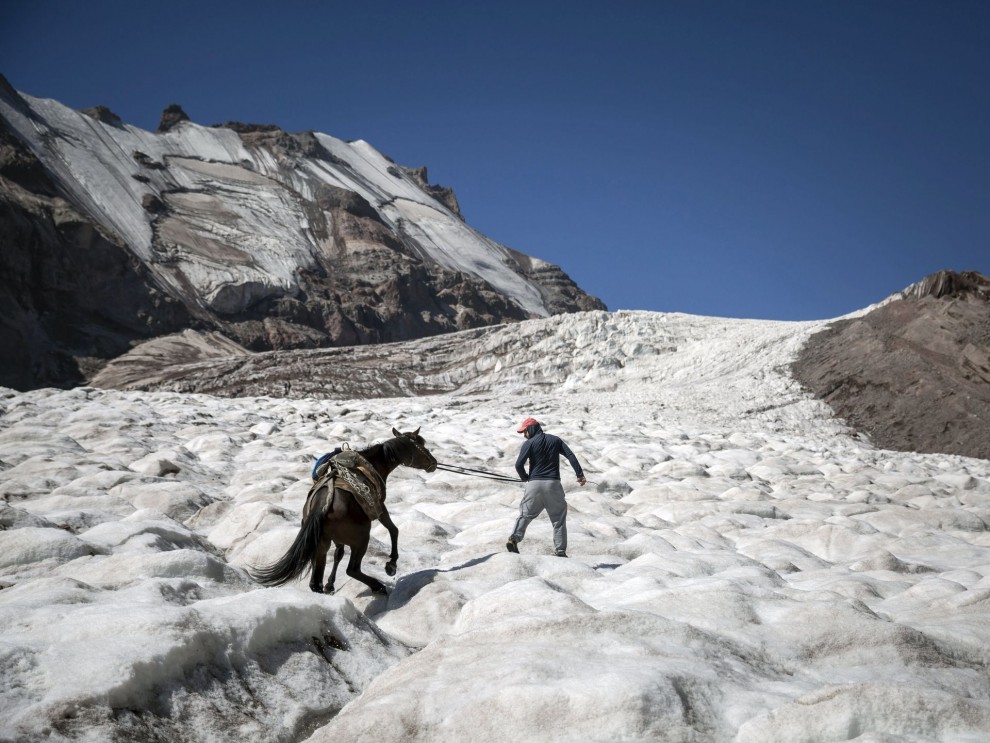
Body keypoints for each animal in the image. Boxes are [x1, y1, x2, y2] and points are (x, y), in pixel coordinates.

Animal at [250, 428, 436, 596]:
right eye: (422, 444)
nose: (434, 463)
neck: (372, 463)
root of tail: (320, 507)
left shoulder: (337, 539)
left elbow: (338, 554)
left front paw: (330, 585)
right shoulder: (379, 507)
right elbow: (393, 530)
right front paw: (391, 564)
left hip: (321, 543)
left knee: (316, 580)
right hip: (361, 539)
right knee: (352, 570)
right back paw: (378, 586)